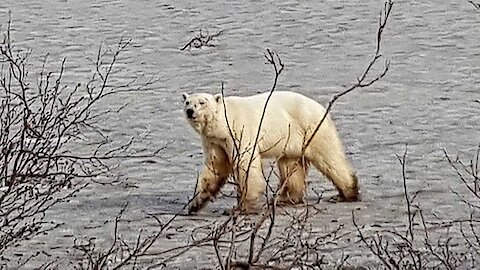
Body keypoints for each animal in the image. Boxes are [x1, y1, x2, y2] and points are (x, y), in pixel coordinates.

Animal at [182, 92, 358, 214]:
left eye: (201, 102)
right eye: (187, 102)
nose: (190, 111)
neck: (225, 123)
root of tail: (321, 107)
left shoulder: (239, 131)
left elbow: (246, 166)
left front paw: (240, 208)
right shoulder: (214, 141)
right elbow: (215, 166)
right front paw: (194, 204)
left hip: (310, 127)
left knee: (328, 157)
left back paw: (347, 194)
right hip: (291, 138)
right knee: (290, 165)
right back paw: (286, 199)